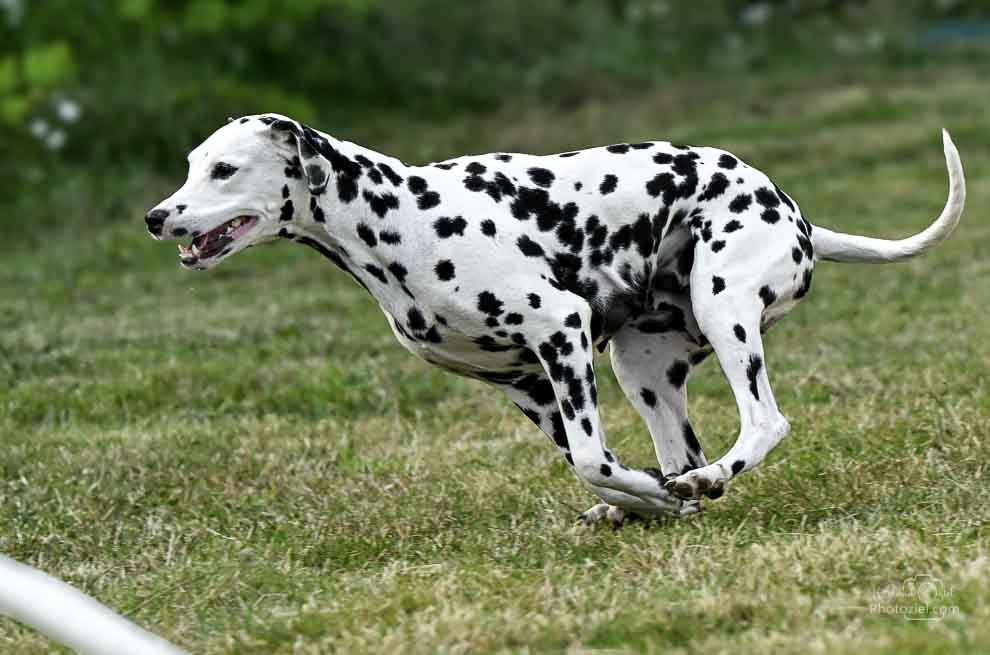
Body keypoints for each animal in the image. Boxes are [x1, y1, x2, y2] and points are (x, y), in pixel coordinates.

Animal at [145, 115, 968, 524]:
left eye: (222, 170)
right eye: (189, 166)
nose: (157, 216)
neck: (400, 219)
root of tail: (796, 214)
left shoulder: (561, 333)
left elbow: (593, 461)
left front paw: (647, 499)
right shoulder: (527, 385)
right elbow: (598, 467)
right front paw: (646, 503)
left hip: (724, 306)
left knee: (762, 423)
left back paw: (707, 480)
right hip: (642, 367)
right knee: (682, 451)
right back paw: (685, 488)